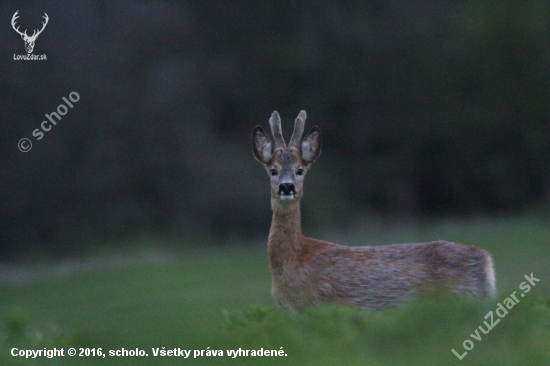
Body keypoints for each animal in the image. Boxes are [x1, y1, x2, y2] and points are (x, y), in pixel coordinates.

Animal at [252, 109, 498, 312]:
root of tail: (486, 263)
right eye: (273, 170)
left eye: (299, 170)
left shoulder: (314, 305)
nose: (286, 187)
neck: (295, 260)